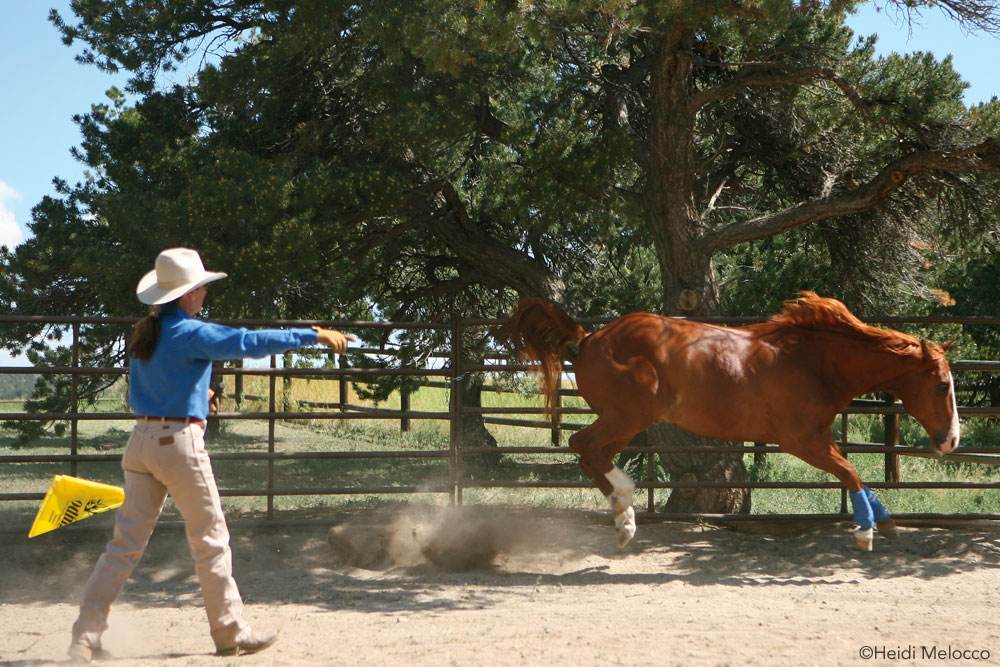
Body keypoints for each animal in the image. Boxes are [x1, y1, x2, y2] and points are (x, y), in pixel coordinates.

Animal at [500, 294, 960, 552]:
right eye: (941, 385)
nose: (951, 441)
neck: (814, 362)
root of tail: (588, 338)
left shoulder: (817, 437)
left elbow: (854, 474)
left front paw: (886, 525)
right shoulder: (801, 439)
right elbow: (850, 472)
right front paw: (867, 532)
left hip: (626, 422)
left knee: (592, 454)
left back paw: (624, 520)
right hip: (629, 415)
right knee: (583, 446)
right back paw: (627, 514)